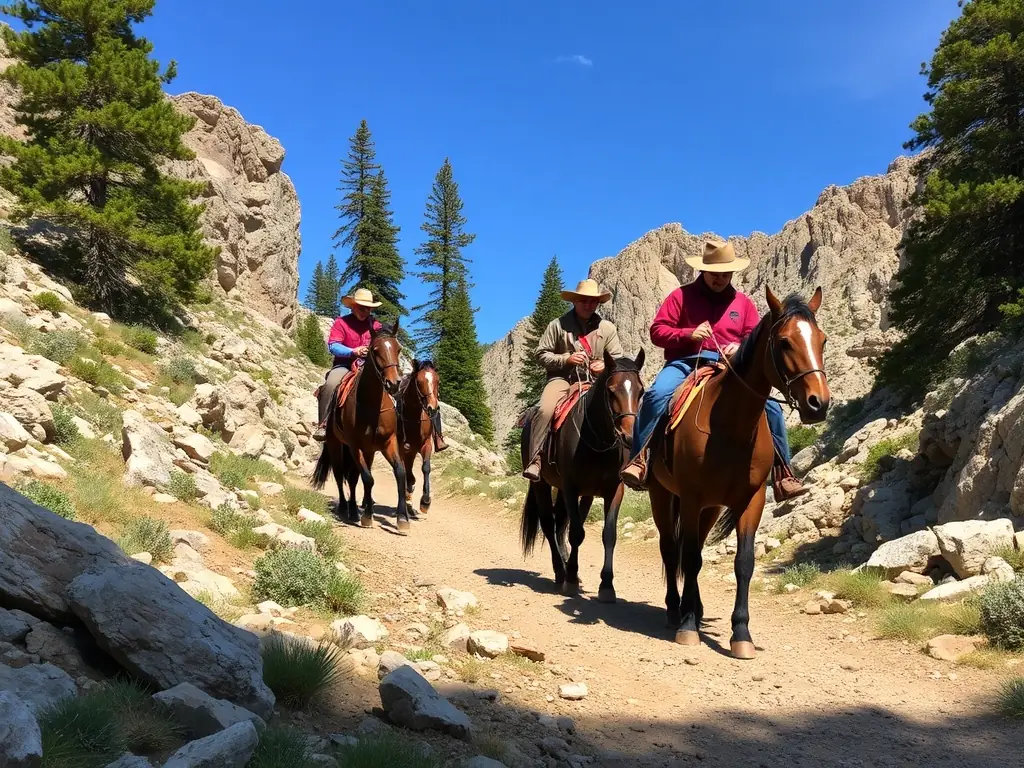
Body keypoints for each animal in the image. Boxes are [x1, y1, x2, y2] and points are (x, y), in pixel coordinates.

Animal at [311, 318, 413, 534]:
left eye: (398, 349)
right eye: (375, 350)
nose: (394, 384)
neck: (371, 406)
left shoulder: (388, 443)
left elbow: (399, 473)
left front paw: (402, 519)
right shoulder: (355, 445)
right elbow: (368, 479)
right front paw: (367, 516)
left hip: (368, 451)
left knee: (352, 478)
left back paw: (354, 509)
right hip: (337, 445)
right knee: (341, 475)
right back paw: (345, 508)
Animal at [398, 359, 443, 518]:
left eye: (437, 381)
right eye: (419, 381)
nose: (432, 408)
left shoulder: (426, 445)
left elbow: (426, 468)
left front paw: (425, 502)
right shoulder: (401, 448)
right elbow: (406, 474)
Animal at [519, 349, 646, 601]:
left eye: (641, 390)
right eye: (611, 390)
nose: (629, 436)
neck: (598, 440)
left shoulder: (614, 491)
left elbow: (609, 535)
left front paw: (606, 586)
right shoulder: (570, 487)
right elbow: (577, 533)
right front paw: (570, 581)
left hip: (579, 494)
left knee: (560, 524)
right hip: (542, 485)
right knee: (549, 524)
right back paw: (561, 573)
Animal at [647, 286, 830, 659]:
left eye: (822, 339)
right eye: (785, 342)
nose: (819, 404)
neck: (729, 427)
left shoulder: (751, 499)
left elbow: (742, 563)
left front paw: (741, 634)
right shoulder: (690, 497)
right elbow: (689, 558)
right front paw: (688, 628)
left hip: (710, 508)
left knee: (690, 550)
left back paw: (694, 608)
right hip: (664, 495)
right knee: (671, 549)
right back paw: (676, 610)